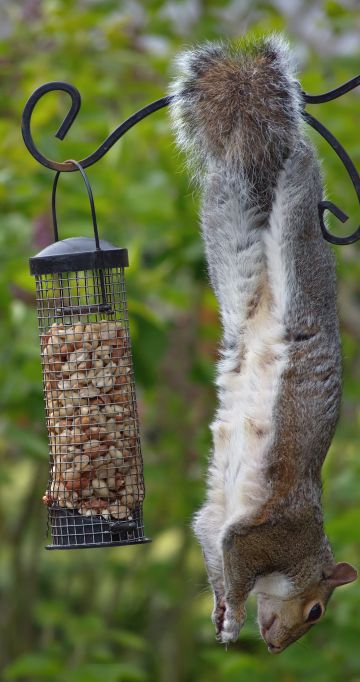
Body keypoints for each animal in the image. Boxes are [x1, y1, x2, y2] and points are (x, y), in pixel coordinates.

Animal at [169, 34, 358, 652]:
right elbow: (235, 558)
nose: (277, 647)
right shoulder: (270, 535)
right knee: (299, 184)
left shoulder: (216, 522)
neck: (302, 558)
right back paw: (299, 152)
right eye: (317, 611)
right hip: (304, 258)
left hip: (230, 244)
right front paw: (230, 614)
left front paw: (218, 611)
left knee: (227, 185)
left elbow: (211, 544)